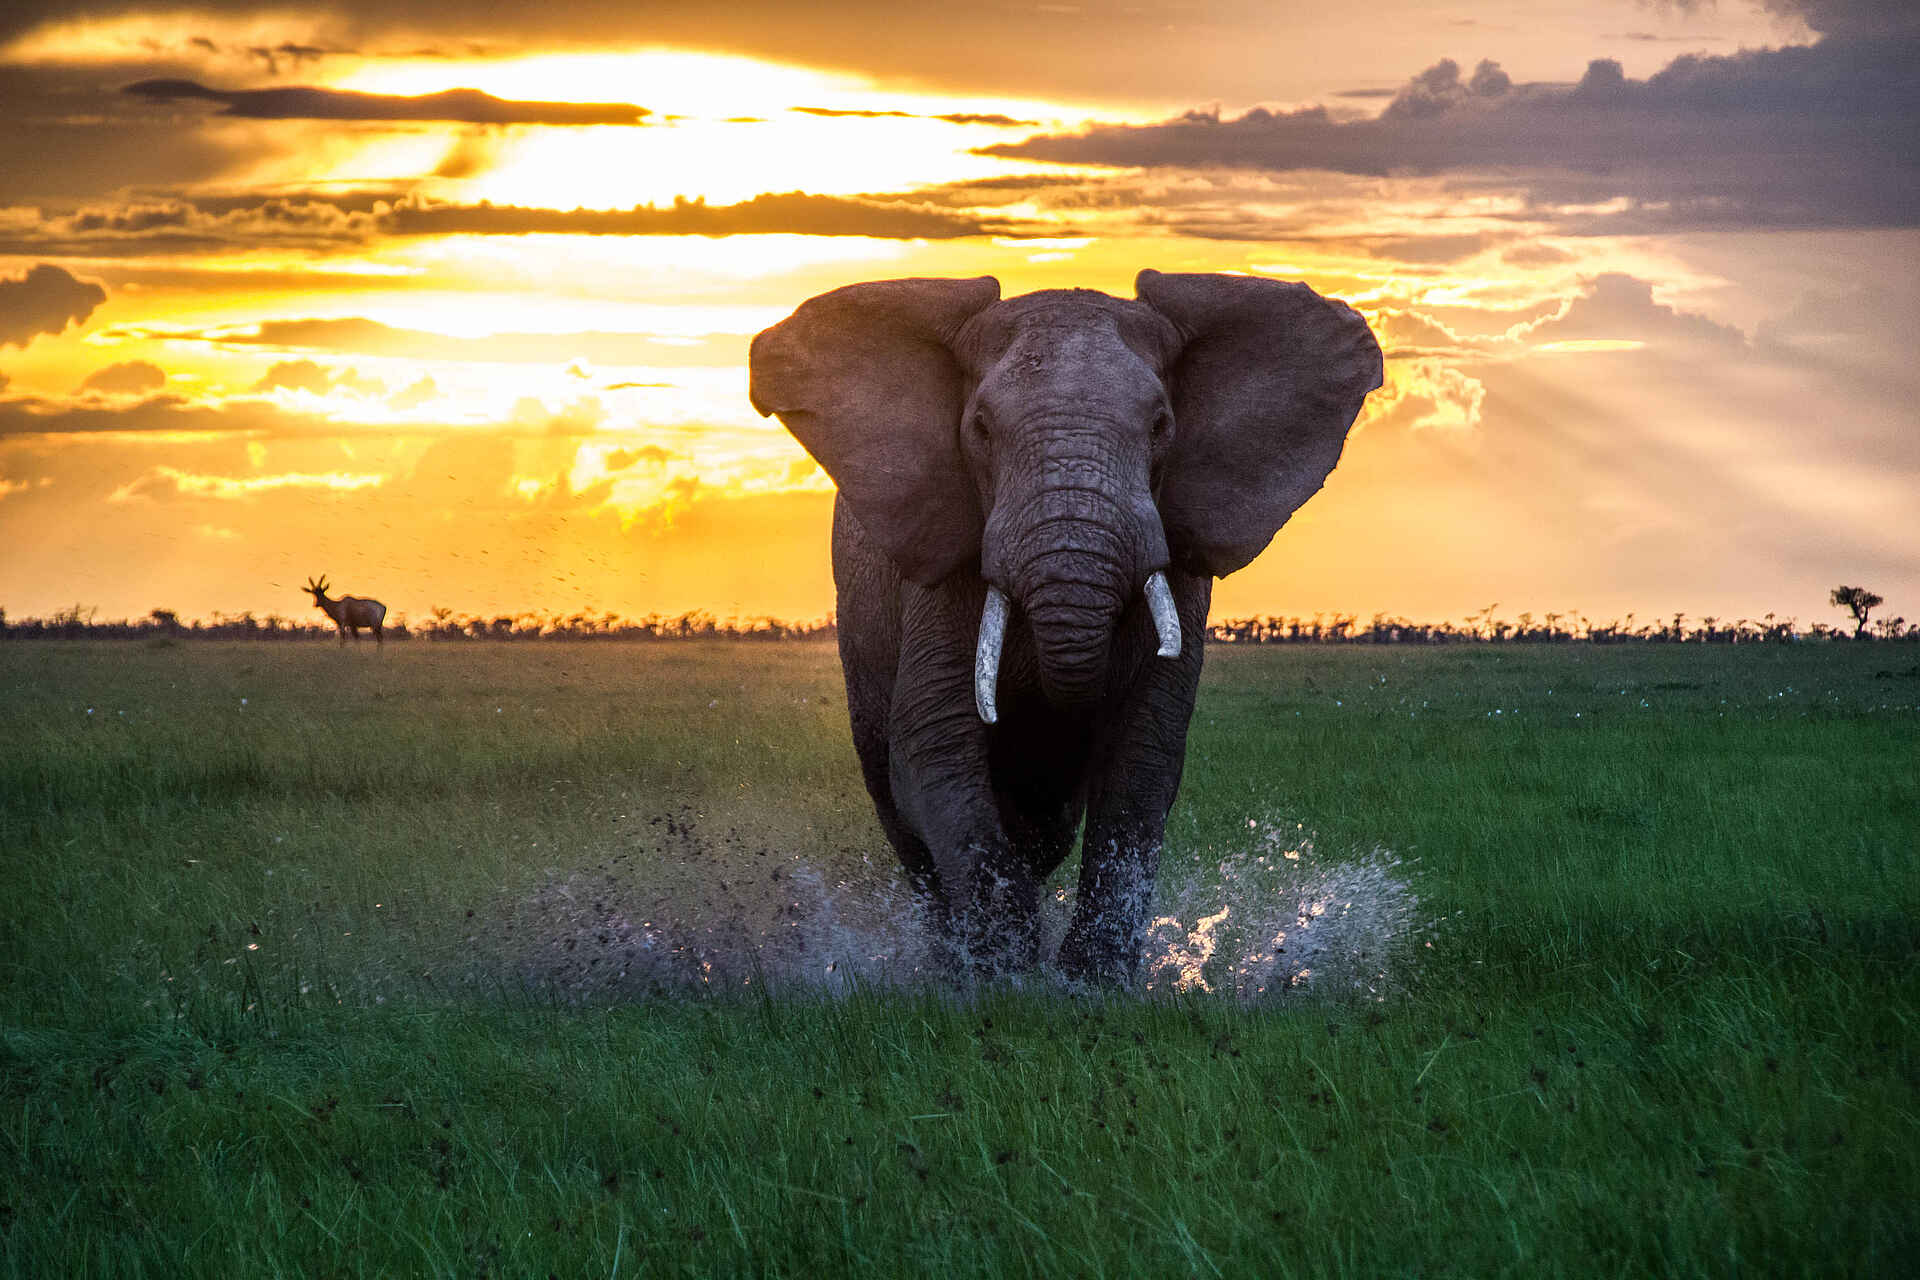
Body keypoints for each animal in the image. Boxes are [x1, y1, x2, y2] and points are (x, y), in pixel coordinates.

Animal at [749, 270, 1382, 982]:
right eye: (980, 428)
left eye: (1161, 425)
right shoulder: (942, 572)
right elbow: (933, 748)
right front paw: (1007, 975)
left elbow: (1143, 757)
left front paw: (1088, 983)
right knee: (903, 815)